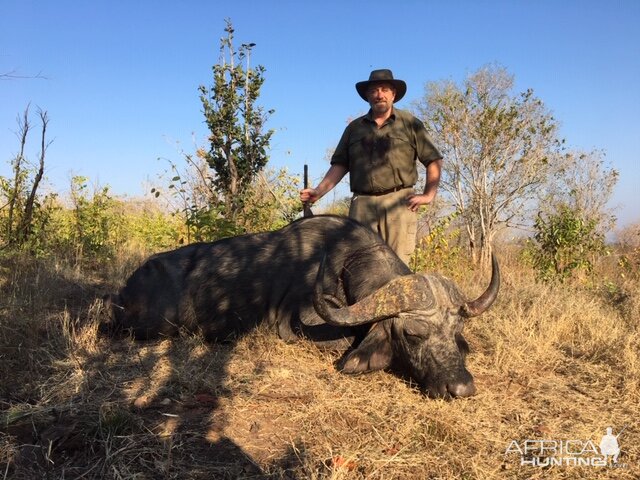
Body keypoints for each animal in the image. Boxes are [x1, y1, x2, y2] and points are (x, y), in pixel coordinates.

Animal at [104, 216, 500, 400]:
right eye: (414, 334)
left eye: (455, 333)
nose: (461, 388)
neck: (344, 261)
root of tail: (125, 290)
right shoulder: (294, 326)